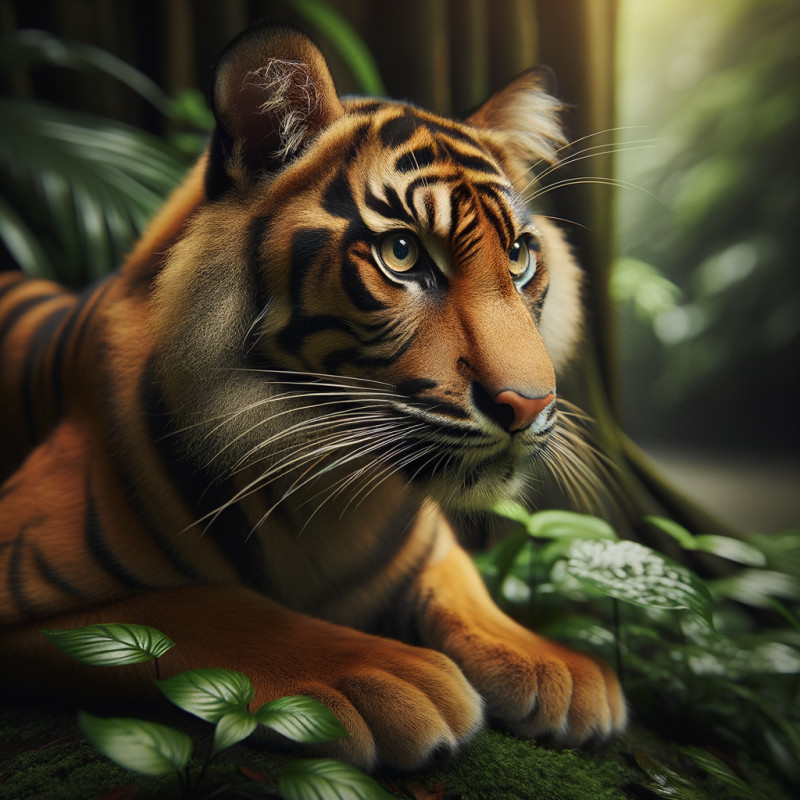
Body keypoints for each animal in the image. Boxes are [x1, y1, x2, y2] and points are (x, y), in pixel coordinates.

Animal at [0, 24, 626, 770]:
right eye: (402, 254)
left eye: (520, 259)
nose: (528, 406)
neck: (330, 496)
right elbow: (215, 610)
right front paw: (388, 676)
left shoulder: (431, 550)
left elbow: (463, 589)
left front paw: (560, 668)